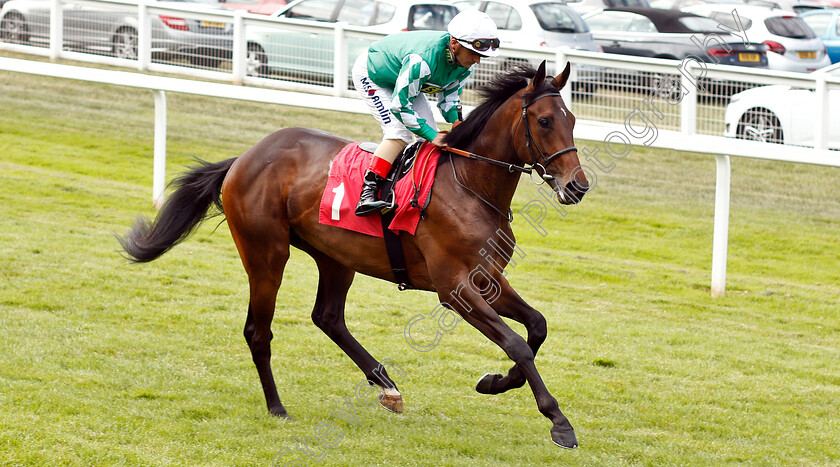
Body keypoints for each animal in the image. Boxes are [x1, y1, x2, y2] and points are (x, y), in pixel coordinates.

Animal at [120, 60, 592, 448]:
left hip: (334, 256)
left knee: (328, 317)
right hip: (265, 253)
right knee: (259, 330)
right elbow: (517, 343)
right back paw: (277, 407)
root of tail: (245, 157)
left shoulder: (486, 279)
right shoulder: (454, 288)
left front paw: (495, 381)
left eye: (572, 120)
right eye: (545, 121)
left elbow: (536, 327)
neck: (469, 185)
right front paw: (559, 422)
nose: (578, 186)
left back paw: (386, 385)